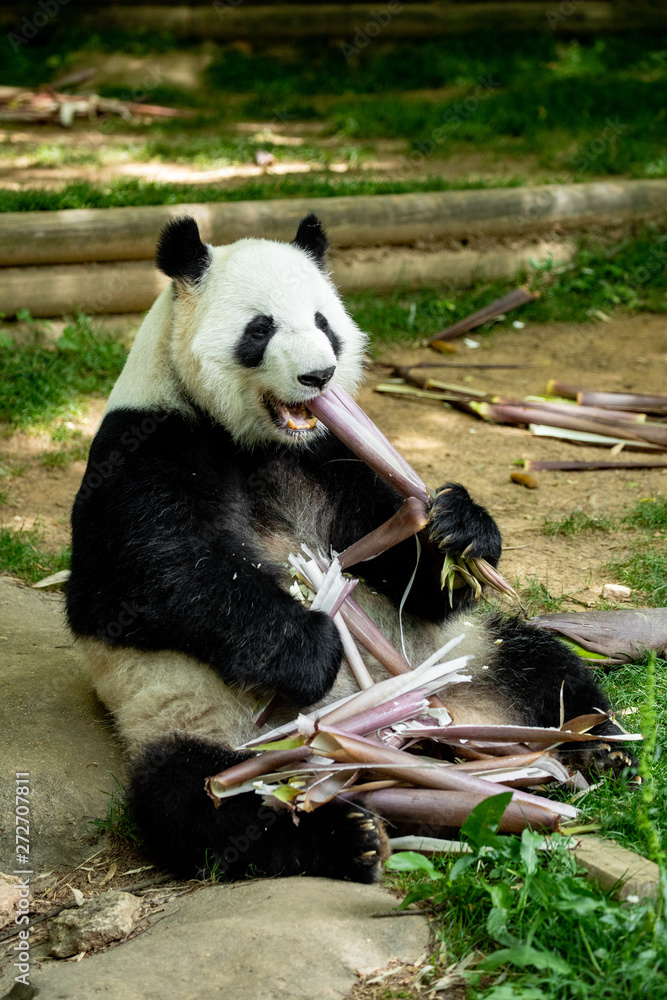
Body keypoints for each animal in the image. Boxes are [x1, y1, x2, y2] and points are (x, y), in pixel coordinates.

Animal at [66, 213, 629, 884]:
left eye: (323, 322)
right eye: (260, 328)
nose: (319, 376)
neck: (259, 441)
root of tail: (419, 737)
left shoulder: (333, 456)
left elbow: (405, 563)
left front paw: (457, 530)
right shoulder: (146, 444)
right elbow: (140, 583)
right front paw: (309, 647)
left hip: (465, 656)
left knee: (546, 668)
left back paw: (600, 749)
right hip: (210, 721)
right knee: (204, 801)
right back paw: (349, 836)